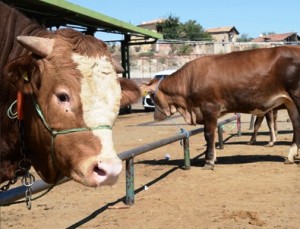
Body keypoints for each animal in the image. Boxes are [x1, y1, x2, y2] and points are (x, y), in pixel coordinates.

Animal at [142, 46, 300, 169]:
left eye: (152, 95)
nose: (155, 117)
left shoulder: (209, 108)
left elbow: (209, 134)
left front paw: (209, 161)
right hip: (290, 102)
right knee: (296, 124)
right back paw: (291, 156)